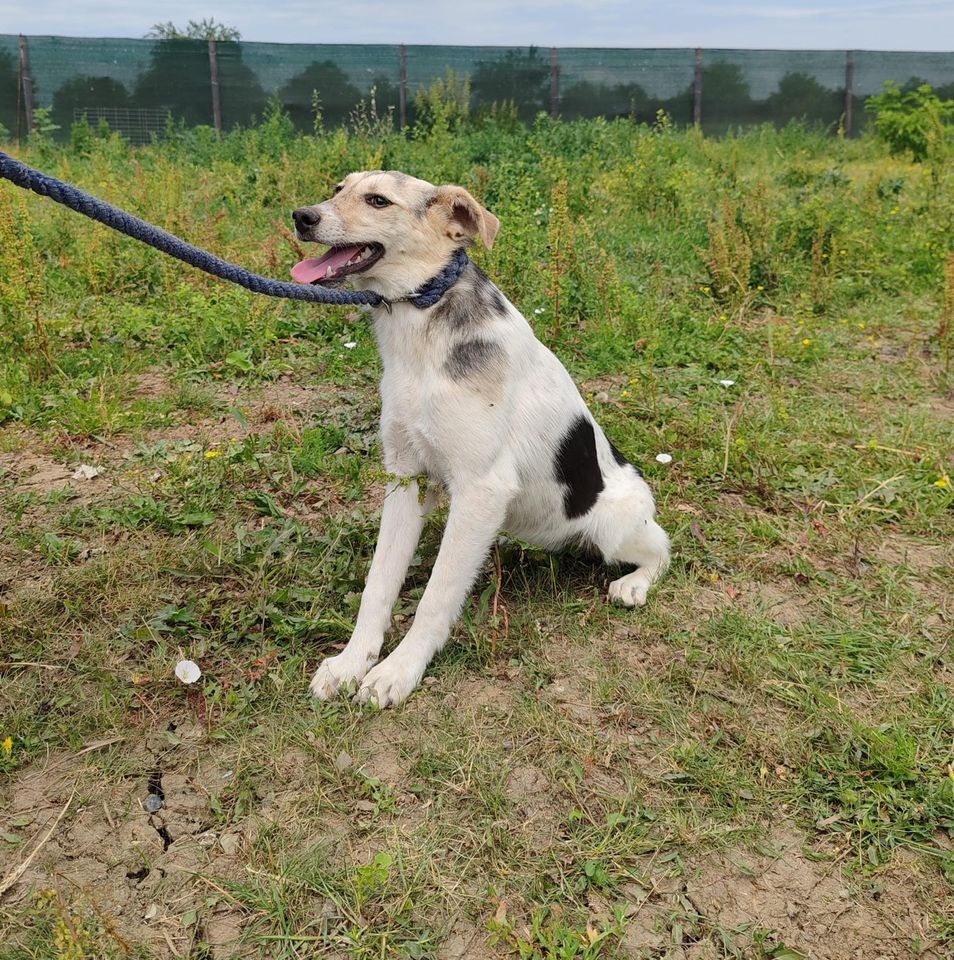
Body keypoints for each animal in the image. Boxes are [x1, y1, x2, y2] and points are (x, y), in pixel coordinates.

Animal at [290, 171, 668, 704]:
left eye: (378, 201)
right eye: (339, 187)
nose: (301, 217)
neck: (420, 328)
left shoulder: (481, 488)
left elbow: (435, 596)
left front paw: (398, 670)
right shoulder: (407, 479)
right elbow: (379, 583)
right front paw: (351, 662)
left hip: (617, 526)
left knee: (662, 548)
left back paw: (634, 584)